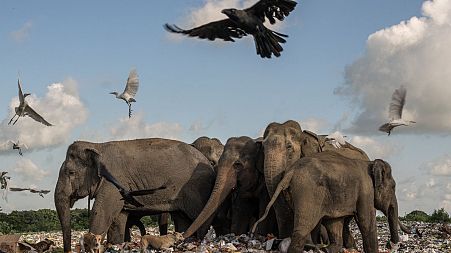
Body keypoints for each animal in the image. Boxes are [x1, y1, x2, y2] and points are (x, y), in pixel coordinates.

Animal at [54, 139, 217, 252]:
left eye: (71, 173)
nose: (68, 251)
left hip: (197, 188)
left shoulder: (112, 183)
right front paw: (116, 245)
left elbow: (101, 213)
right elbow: (118, 218)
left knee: (201, 215)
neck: (97, 146)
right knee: (182, 217)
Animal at [254, 151, 400, 252]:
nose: (391, 245)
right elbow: (366, 222)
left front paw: (328, 249)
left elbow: (334, 223)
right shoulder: (365, 192)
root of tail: (291, 172)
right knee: (303, 228)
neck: (370, 163)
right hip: (308, 192)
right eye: (393, 187)